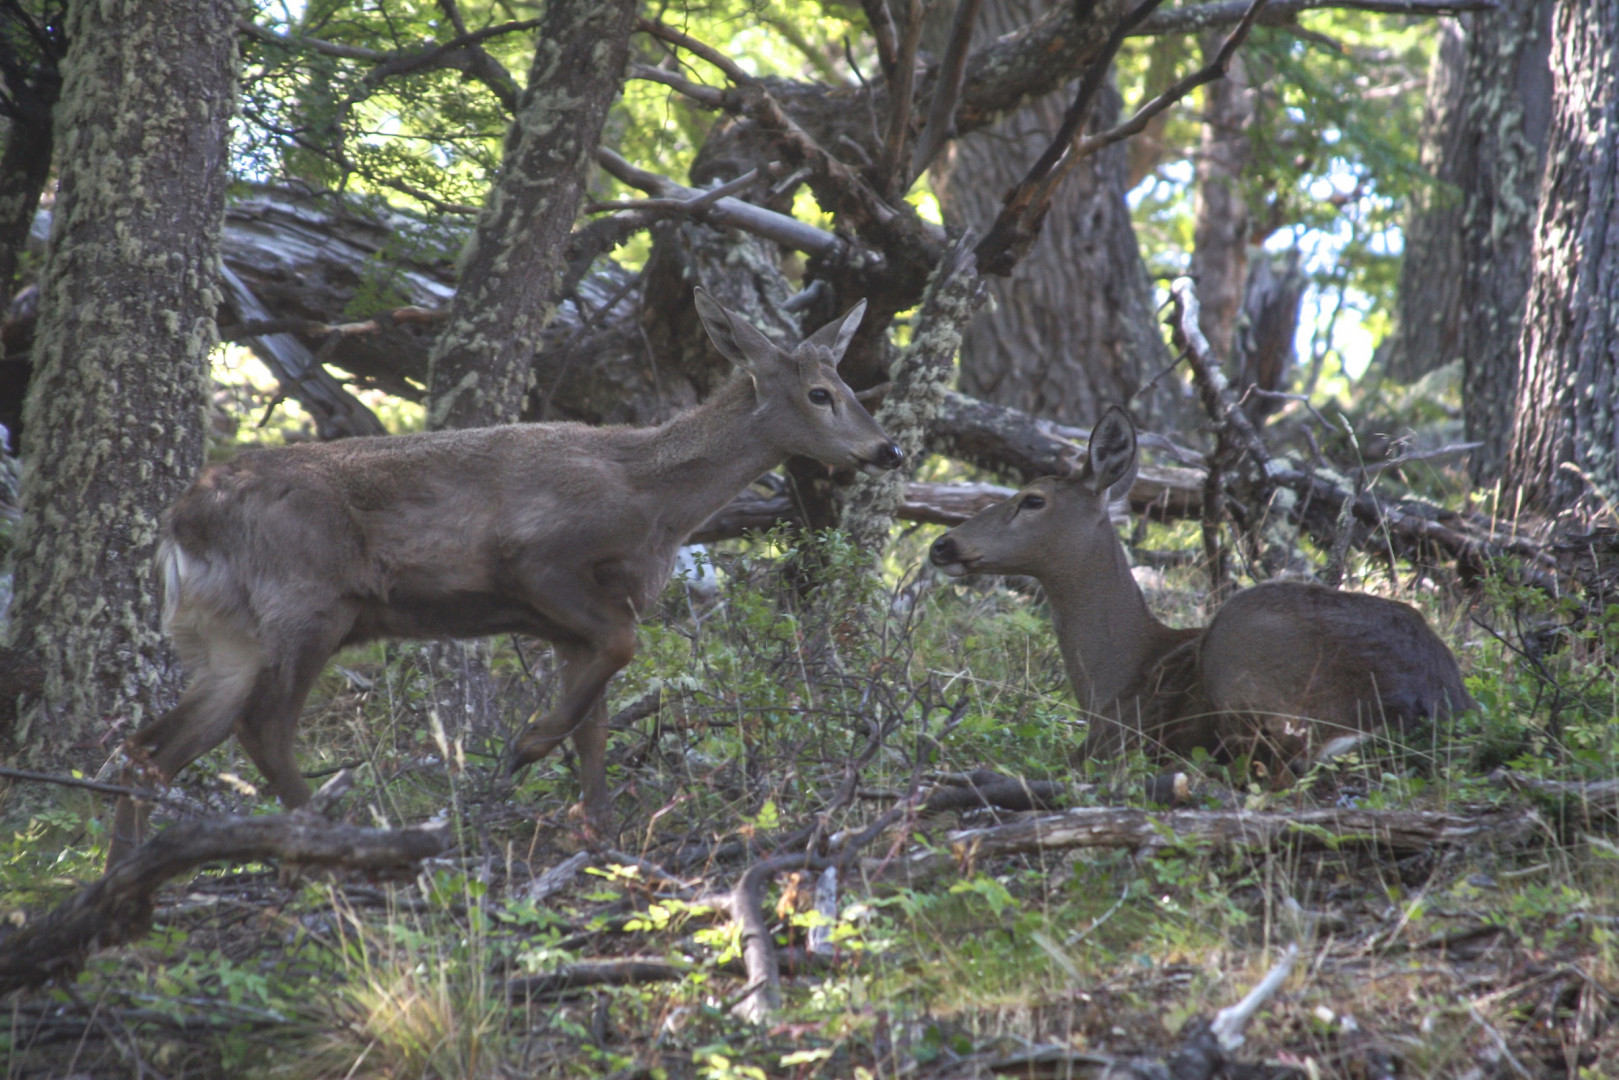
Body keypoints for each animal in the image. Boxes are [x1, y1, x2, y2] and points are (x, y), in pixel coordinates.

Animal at [107, 291, 906, 867]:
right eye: (820, 393)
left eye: (845, 382)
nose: (888, 450)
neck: (652, 500)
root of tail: (183, 520)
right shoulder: (537, 558)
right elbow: (621, 652)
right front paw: (527, 746)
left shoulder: (570, 622)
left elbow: (597, 725)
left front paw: (602, 836)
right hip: (308, 602)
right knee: (262, 726)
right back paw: (338, 840)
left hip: (226, 634)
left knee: (153, 746)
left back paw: (125, 870)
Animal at [926, 404, 1470, 777]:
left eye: (1032, 499)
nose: (942, 544)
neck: (1114, 677)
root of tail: (1424, 701)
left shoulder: (1109, 740)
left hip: (1243, 646)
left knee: (1275, 763)